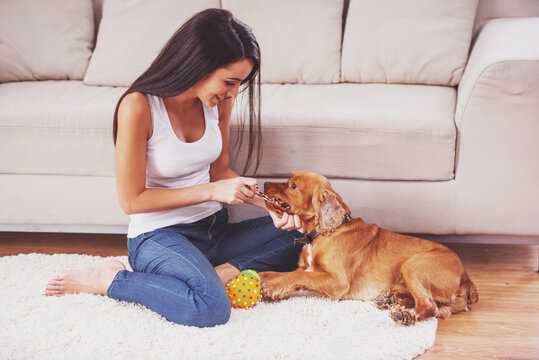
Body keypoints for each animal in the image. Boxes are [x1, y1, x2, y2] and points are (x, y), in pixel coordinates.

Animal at [260, 170, 478, 324]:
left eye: (293, 185)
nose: (264, 183)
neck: (322, 233)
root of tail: (466, 277)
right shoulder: (309, 269)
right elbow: (281, 273)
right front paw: (264, 276)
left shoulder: (338, 281)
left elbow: (297, 276)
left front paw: (272, 287)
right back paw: (390, 299)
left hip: (412, 264)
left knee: (430, 306)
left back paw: (405, 314)